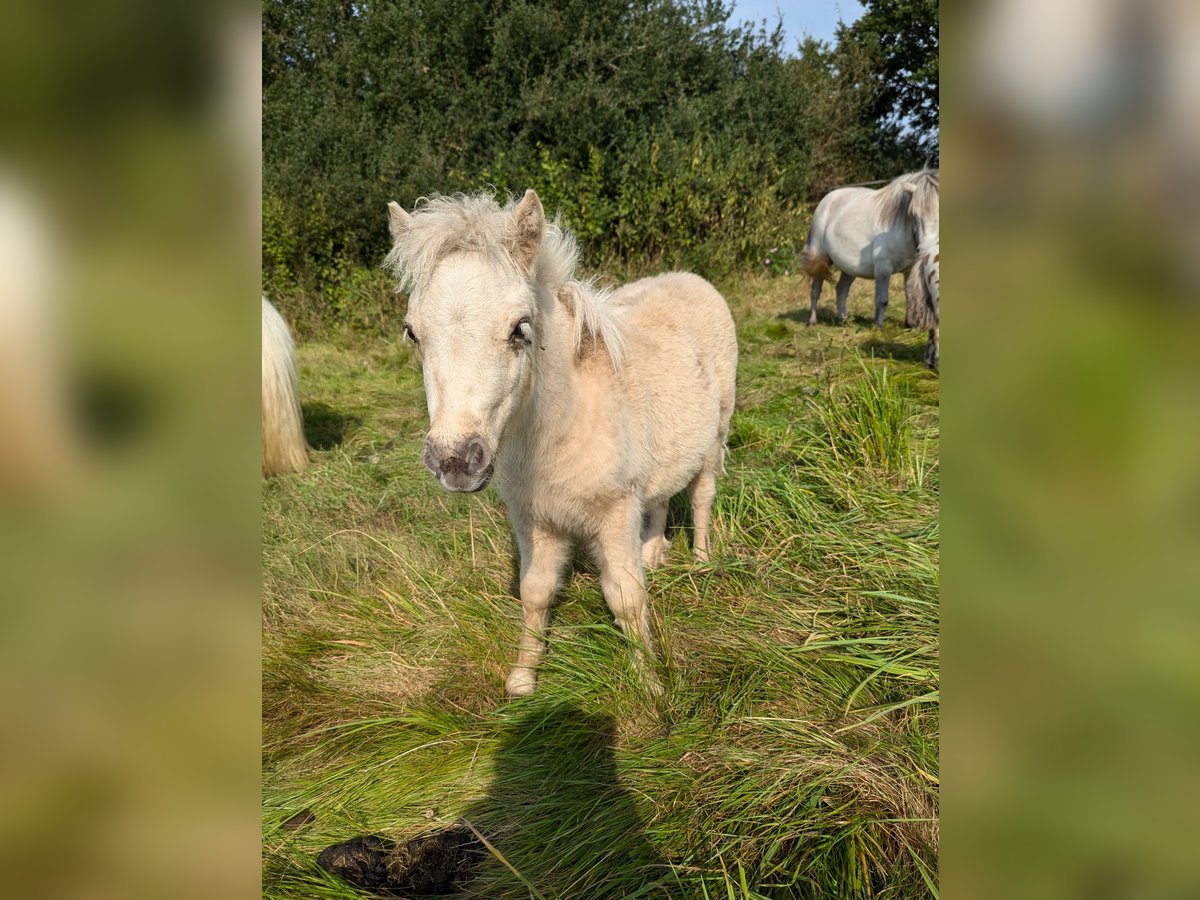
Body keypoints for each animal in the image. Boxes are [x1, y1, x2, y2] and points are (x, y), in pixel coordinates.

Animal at [388, 188, 734, 696]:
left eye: (520, 329)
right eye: (412, 332)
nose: (454, 460)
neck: (559, 426)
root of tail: (692, 279)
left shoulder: (614, 513)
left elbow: (627, 597)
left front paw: (649, 684)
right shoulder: (535, 518)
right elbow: (534, 592)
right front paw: (522, 680)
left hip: (715, 439)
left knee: (702, 496)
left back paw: (701, 562)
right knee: (660, 497)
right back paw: (654, 554)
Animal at [806, 169, 936, 328]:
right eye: (914, 214)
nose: (925, 250)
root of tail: (826, 200)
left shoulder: (911, 268)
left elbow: (911, 295)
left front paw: (910, 325)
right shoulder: (883, 269)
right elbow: (882, 300)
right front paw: (878, 326)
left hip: (849, 268)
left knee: (841, 289)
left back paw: (843, 320)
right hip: (821, 257)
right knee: (816, 289)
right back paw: (812, 320)